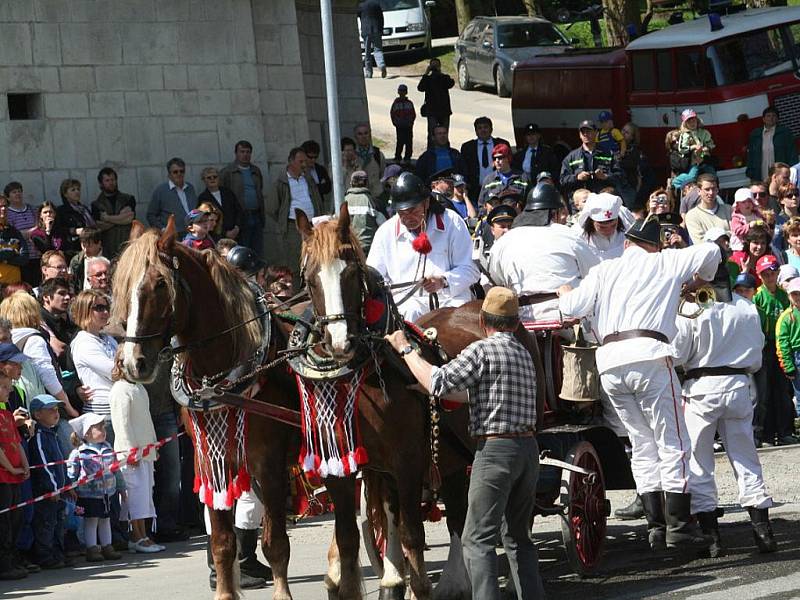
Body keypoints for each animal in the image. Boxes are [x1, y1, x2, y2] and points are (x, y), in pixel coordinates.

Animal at [111, 219, 300, 600]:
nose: (132, 363)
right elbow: (222, 541)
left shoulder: (269, 461)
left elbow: (275, 541)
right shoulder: (208, 457)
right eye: (122, 286)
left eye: (160, 284)